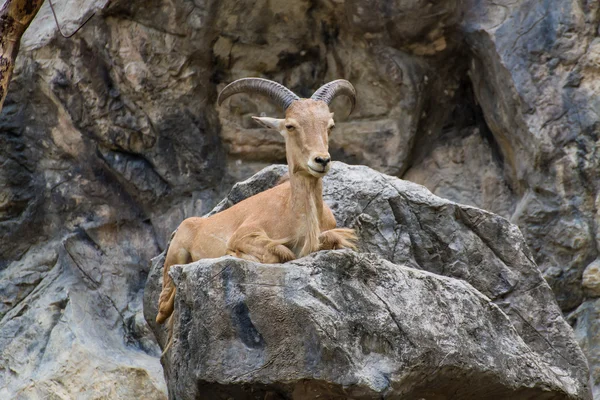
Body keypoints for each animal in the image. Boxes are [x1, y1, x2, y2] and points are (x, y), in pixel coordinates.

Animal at [157, 78, 358, 324]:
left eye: (330, 126)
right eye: (290, 126)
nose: (321, 160)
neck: (296, 214)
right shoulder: (245, 234)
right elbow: (279, 252)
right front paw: (233, 254)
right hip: (175, 256)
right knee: (163, 307)